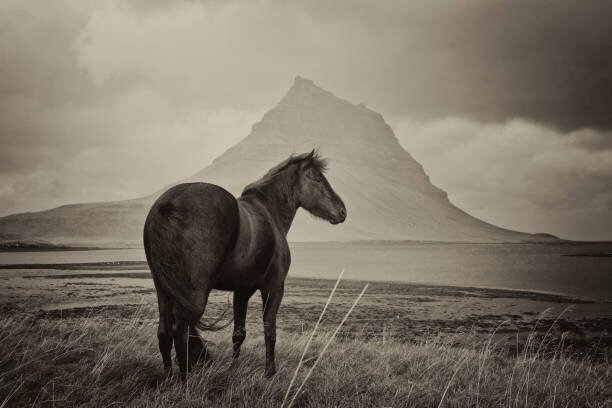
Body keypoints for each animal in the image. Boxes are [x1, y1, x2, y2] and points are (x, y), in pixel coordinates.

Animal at [141, 151, 346, 380]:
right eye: (318, 179)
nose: (342, 211)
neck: (269, 213)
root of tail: (168, 204)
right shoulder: (274, 288)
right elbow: (269, 330)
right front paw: (270, 372)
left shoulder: (242, 291)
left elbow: (239, 333)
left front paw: (234, 369)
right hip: (193, 295)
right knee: (181, 332)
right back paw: (186, 379)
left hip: (163, 290)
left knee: (164, 332)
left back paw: (168, 376)